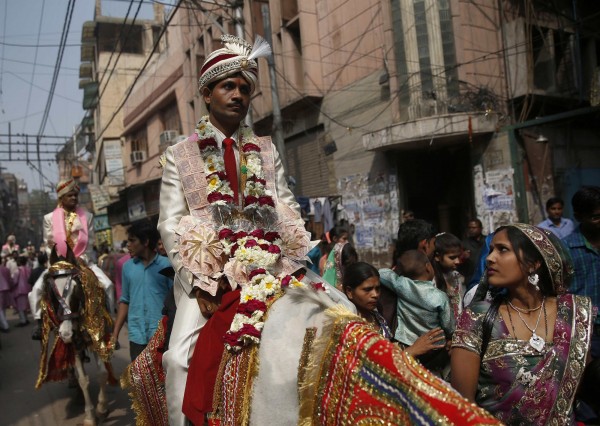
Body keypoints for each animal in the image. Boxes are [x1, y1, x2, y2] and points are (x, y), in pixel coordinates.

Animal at [36, 250, 115, 426]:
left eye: (77, 289)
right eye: (52, 294)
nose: (66, 333)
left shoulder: (95, 337)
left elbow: (102, 374)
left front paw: (102, 407)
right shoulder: (74, 345)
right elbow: (83, 380)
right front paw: (90, 416)